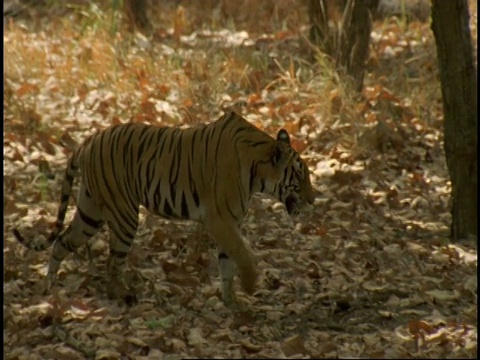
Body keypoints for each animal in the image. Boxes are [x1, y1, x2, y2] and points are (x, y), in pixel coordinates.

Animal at [14, 110, 316, 306]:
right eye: (300, 176)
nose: (313, 200)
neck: (257, 171)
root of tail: (86, 142)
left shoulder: (229, 222)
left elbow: (228, 262)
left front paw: (232, 302)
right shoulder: (220, 219)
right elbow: (242, 254)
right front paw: (251, 286)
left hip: (91, 212)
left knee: (62, 242)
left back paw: (50, 286)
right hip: (123, 215)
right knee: (112, 261)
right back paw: (122, 295)